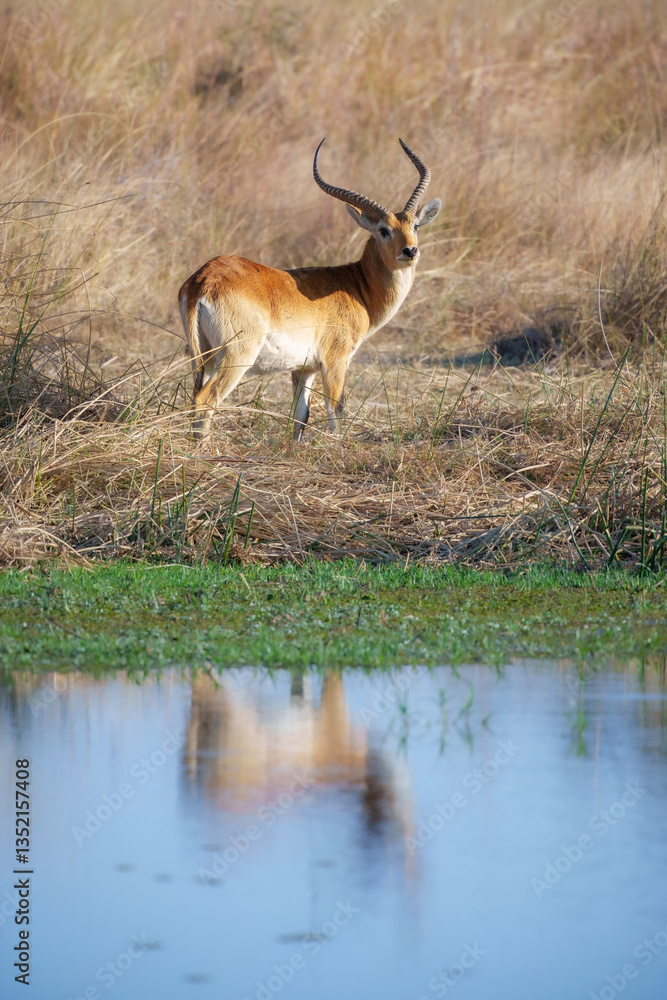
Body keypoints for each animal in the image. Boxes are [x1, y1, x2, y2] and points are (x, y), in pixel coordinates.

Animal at [178, 138, 441, 440]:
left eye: (415, 225)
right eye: (383, 230)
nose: (410, 250)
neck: (357, 286)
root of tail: (203, 279)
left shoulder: (303, 369)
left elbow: (300, 418)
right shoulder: (335, 360)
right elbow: (335, 410)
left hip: (204, 359)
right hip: (236, 357)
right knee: (205, 400)